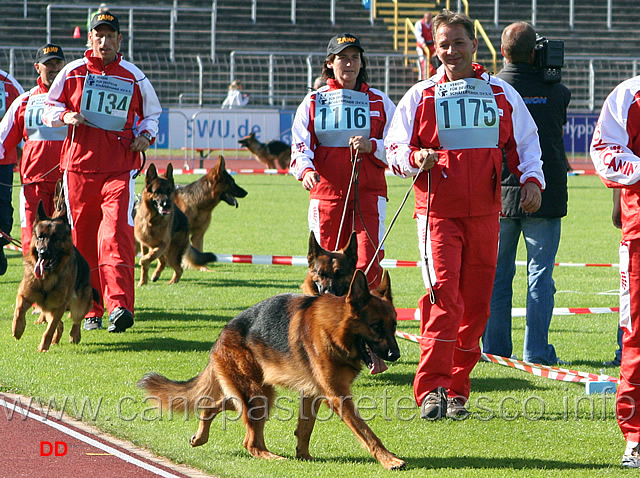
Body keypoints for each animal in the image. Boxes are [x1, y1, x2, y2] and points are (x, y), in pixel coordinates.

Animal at [11, 183, 97, 352]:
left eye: (55, 238)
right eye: (40, 237)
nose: (43, 253)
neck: (47, 277)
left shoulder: (59, 305)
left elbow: (49, 329)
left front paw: (43, 347)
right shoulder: (24, 295)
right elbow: (18, 312)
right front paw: (18, 329)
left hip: (79, 303)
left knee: (75, 319)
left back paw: (74, 335)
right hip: (47, 307)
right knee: (60, 324)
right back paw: (56, 339)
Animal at [139, 270, 404, 468]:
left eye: (394, 326)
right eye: (376, 326)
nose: (396, 355)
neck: (335, 328)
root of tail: (222, 335)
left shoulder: (314, 392)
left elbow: (305, 428)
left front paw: (304, 456)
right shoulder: (338, 396)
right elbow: (366, 432)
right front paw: (389, 460)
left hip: (255, 394)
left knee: (212, 405)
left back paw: (201, 436)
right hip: (259, 396)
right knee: (251, 443)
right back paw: (273, 458)